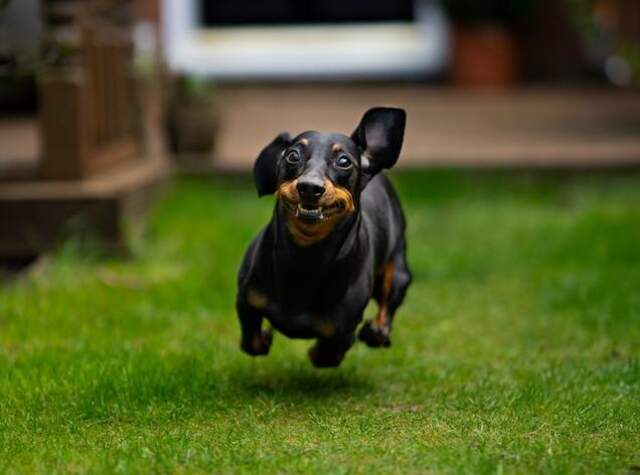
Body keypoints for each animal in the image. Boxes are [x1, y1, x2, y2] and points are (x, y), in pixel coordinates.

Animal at [238, 107, 412, 368]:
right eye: (292, 156)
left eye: (344, 162)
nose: (310, 187)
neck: (306, 256)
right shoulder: (247, 300)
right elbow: (252, 341)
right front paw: (265, 338)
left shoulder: (345, 327)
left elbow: (329, 353)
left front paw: (322, 351)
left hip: (398, 271)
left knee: (387, 307)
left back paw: (376, 332)